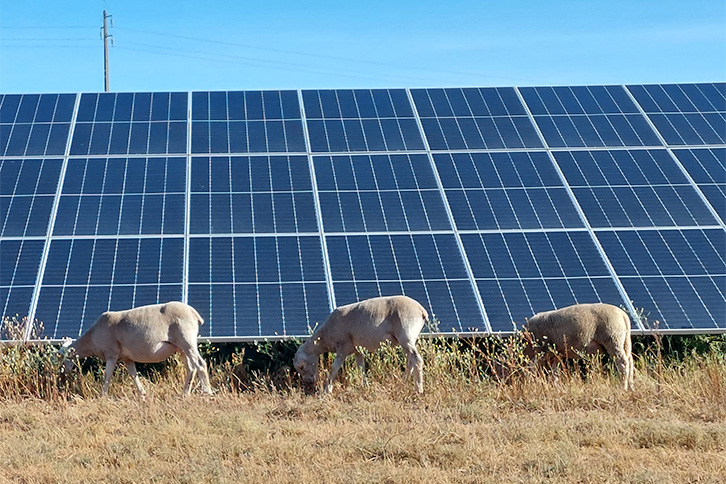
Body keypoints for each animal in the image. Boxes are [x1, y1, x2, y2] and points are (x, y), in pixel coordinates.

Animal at [60, 302, 213, 398]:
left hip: (186, 339)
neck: (91, 340)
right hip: (180, 347)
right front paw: (142, 393)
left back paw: (207, 392)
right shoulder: (127, 358)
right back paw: (185, 393)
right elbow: (133, 374)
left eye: (63, 358)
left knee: (200, 364)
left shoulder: (111, 353)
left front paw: (103, 396)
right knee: (191, 368)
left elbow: (107, 375)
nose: (62, 375)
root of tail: (194, 314)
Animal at [296, 294, 430, 394]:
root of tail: (421, 311)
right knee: (410, 360)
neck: (324, 337)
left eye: (302, 367)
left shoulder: (343, 346)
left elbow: (334, 367)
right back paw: (403, 382)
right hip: (406, 339)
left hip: (406, 334)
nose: (309, 382)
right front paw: (365, 386)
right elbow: (361, 368)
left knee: (416, 359)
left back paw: (419, 389)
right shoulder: (357, 350)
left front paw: (327, 389)